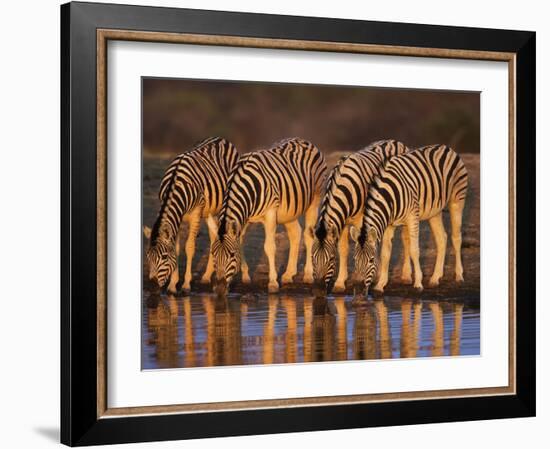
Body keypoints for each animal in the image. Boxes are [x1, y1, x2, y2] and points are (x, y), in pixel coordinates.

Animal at [146, 136, 240, 292]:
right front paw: (173, 284)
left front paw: (185, 284)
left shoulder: (196, 213)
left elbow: (189, 247)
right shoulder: (177, 217)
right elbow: (177, 248)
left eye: (164, 257)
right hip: (208, 211)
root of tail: (220, 138)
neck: (175, 184)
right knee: (214, 236)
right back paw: (206, 276)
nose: (152, 288)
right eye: (147, 256)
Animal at [211, 138, 328, 296]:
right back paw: (288, 274)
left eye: (231, 255)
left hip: (315, 200)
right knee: (295, 234)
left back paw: (308, 275)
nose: (219, 290)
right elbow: (240, 242)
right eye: (213, 255)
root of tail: (305, 141)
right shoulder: (245, 217)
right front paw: (246, 276)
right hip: (288, 211)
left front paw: (272, 283)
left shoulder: (271, 212)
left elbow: (270, 247)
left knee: (308, 236)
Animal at [308, 140, 412, 294]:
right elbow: (344, 249)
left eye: (331, 259)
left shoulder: (361, 219)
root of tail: (395, 142)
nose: (318, 292)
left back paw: (406, 276)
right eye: (312, 258)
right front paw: (340, 283)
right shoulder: (343, 221)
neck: (345, 187)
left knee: (406, 240)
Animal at [354, 144, 470, 296]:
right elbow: (386, 253)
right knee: (442, 238)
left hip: (457, 199)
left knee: (456, 237)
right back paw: (435, 278)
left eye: (371, 260)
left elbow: (415, 250)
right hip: (435, 211)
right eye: (355, 260)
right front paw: (380, 285)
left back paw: (459, 276)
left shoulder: (412, 217)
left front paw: (418, 283)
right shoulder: (389, 224)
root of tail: (446, 148)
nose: (359, 291)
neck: (390, 197)